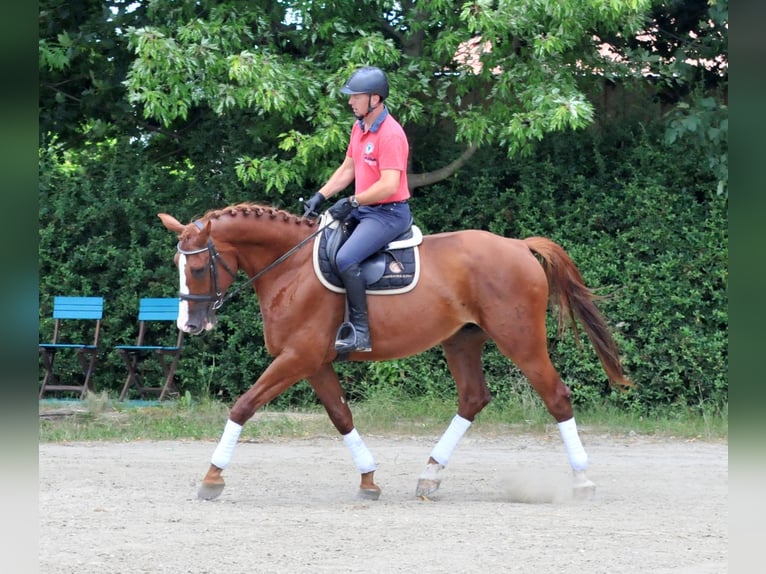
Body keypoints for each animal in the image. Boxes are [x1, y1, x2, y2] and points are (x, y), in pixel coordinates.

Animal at [159, 205, 632, 502]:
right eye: (178, 266)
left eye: (197, 267)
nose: (188, 326)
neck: (289, 268)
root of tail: (517, 245)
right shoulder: (313, 363)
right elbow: (341, 416)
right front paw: (369, 480)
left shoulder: (296, 358)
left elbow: (243, 406)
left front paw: (212, 477)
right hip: (462, 340)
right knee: (473, 398)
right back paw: (430, 475)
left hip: (521, 340)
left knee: (556, 396)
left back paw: (582, 480)